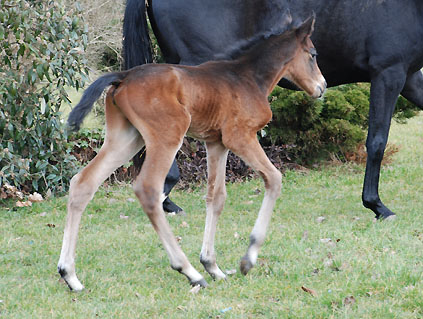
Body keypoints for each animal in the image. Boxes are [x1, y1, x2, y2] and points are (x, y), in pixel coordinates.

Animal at [58, 16, 326, 290]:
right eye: (313, 54)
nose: (322, 86)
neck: (247, 77)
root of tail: (124, 76)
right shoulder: (240, 136)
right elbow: (274, 178)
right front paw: (247, 259)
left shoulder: (217, 143)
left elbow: (216, 197)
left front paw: (212, 265)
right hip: (168, 134)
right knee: (148, 190)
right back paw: (188, 271)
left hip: (126, 139)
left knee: (83, 183)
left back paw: (70, 275)